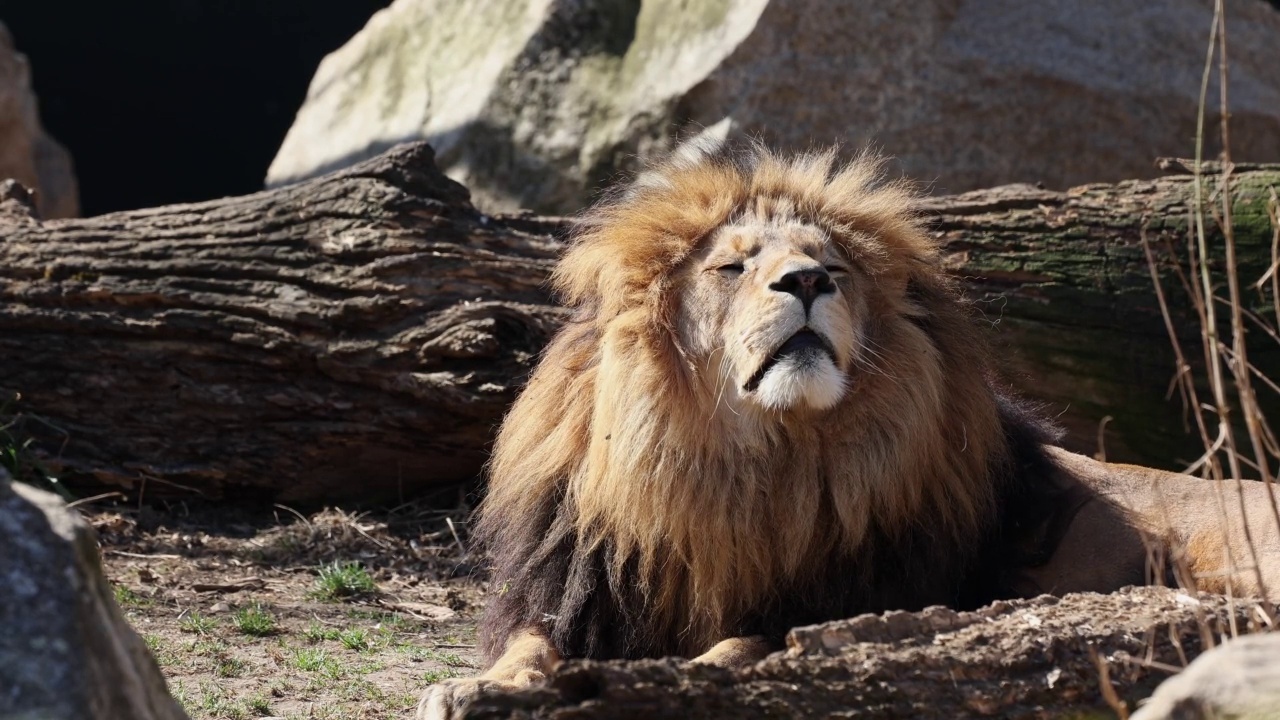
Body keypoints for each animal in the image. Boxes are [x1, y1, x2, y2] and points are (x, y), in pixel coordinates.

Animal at [417, 137, 1280, 712]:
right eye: (731, 266)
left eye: (832, 265)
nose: (806, 281)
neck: (742, 470)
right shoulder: (573, 590)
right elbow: (528, 645)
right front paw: (474, 687)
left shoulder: (848, 601)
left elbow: (745, 644)